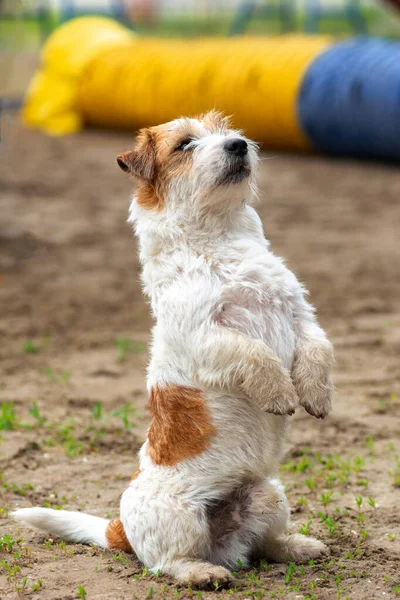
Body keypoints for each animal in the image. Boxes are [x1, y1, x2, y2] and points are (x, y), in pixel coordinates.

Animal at [11, 110, 334, 588]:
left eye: (225, 131)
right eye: (185, 145)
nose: (239, 144)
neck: (219, 240)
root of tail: (118, 530)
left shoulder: (300, 314)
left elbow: (317, 350)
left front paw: (316, 396)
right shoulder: (206, 336)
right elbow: (255, 355)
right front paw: (279, 393)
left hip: (269, 495)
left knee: (262, 545)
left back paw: (300, 546)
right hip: (179, 515)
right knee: (169, 562)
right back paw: (204, 573)